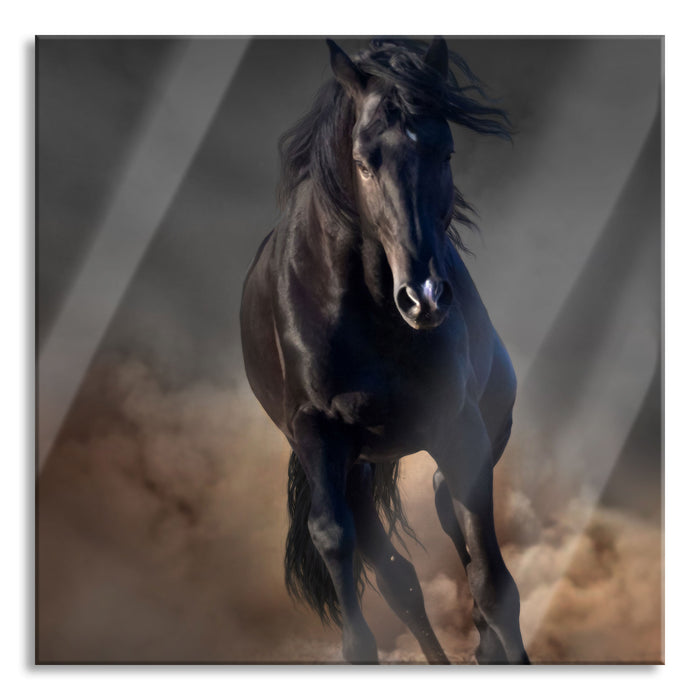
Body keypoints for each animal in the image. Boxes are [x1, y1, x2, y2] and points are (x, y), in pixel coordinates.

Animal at [240, 37, 529, 664]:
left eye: (445, 152)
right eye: (365, 160)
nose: (424, 297)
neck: (367, 309)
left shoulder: (460, 428)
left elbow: (495, 587)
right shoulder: (317, 434)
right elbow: (337, 543)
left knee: (447, 515)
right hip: (351, 468)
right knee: (398, 579)